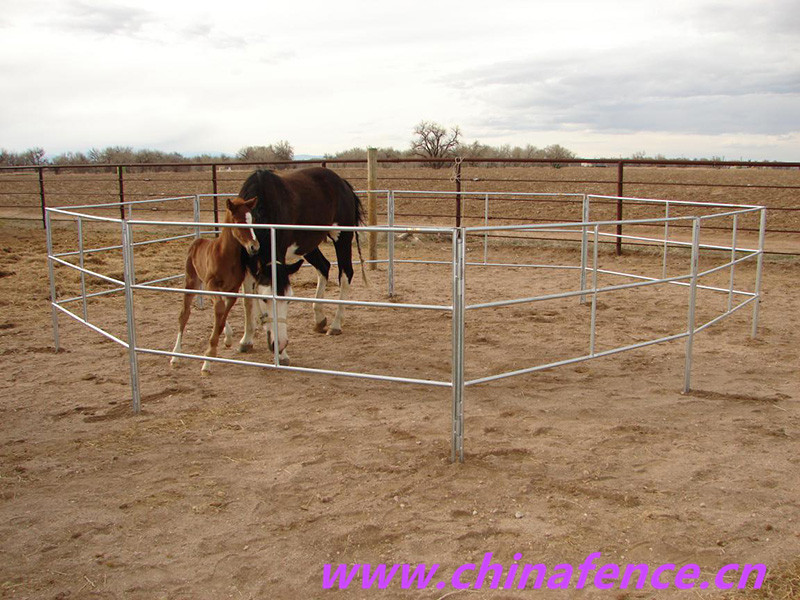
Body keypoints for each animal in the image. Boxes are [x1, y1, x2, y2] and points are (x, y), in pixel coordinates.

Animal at [172, 197, 260, 376]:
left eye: (252, 219)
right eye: (238, 221)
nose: (254, 247)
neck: (225, 255)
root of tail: (198, 240)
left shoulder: (233, 289)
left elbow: (222, 314)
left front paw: (223, 342)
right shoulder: (212, 284)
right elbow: (219, 310)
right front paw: (208, 358)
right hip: (191, 282)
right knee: (184, 314)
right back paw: (175, 355)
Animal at [234, 166, 366, 364]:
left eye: (289, 299)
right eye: (265, 299)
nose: (280, 344)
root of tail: (342, 182)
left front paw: (282, 356)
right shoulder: (248, 264)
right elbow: (247, 301)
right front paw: (246, 340)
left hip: (342, 237)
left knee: (345, 274)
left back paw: (335, 325)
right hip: (309, 245)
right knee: (324, 267)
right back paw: (319, 319)